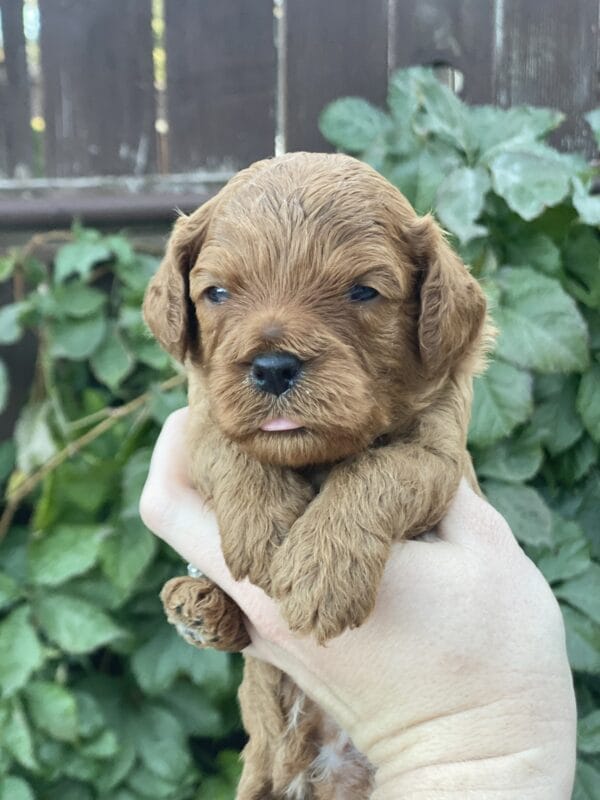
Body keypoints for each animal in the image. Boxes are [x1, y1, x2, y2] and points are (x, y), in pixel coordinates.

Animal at [143, 153, 490, 796]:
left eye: (363, 291)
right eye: (217, 292)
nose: (274, 367)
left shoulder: (439, 452)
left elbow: (381, 467)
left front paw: (321, 571)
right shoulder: (201, 420)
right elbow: (235, 452)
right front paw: (268, 533)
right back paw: (200, 604)